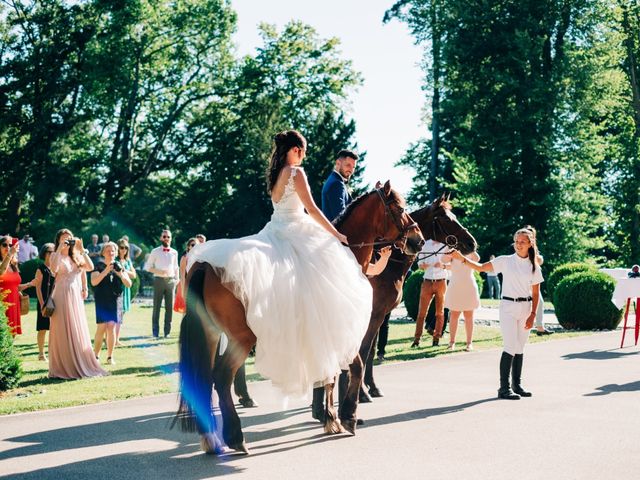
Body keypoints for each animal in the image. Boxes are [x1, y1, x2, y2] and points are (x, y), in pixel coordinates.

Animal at [178, 180, 422, 454]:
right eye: (399, 208)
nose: (418, 239)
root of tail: (204, 265)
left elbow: (330, 375)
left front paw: (330, 417)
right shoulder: (341, 329)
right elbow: (354, 367)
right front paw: (346, 415)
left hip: (211, 334)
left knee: (205, 378)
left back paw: (211, 438)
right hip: (241, 338)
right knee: (221, 377)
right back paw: (235, 437)